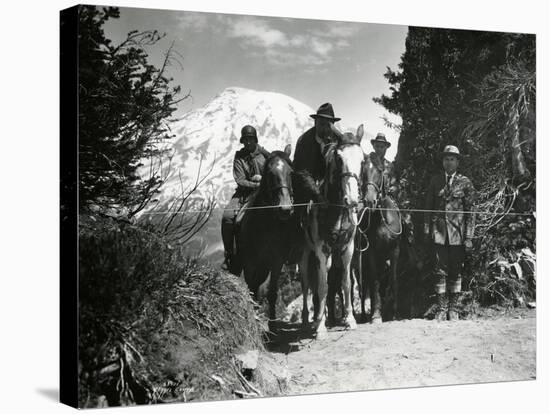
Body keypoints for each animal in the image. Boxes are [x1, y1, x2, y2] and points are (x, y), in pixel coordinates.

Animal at [238, 146, 298, 320]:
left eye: (291, 172)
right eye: (270, 174)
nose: (285, 209)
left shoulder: (276, 261)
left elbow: (272, 293)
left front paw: (273, 321)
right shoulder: (249, 263)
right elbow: (252, 291)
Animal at [356, 155, 404, 324]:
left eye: (379, 171)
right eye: (363, 172)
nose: (370, 201)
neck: (382, 219)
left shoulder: (395, 251)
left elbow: (394, 279)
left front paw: (395, 313)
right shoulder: (371, 253)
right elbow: (374, 281)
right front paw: (376, 315)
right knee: (363, 287)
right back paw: (365, 315)